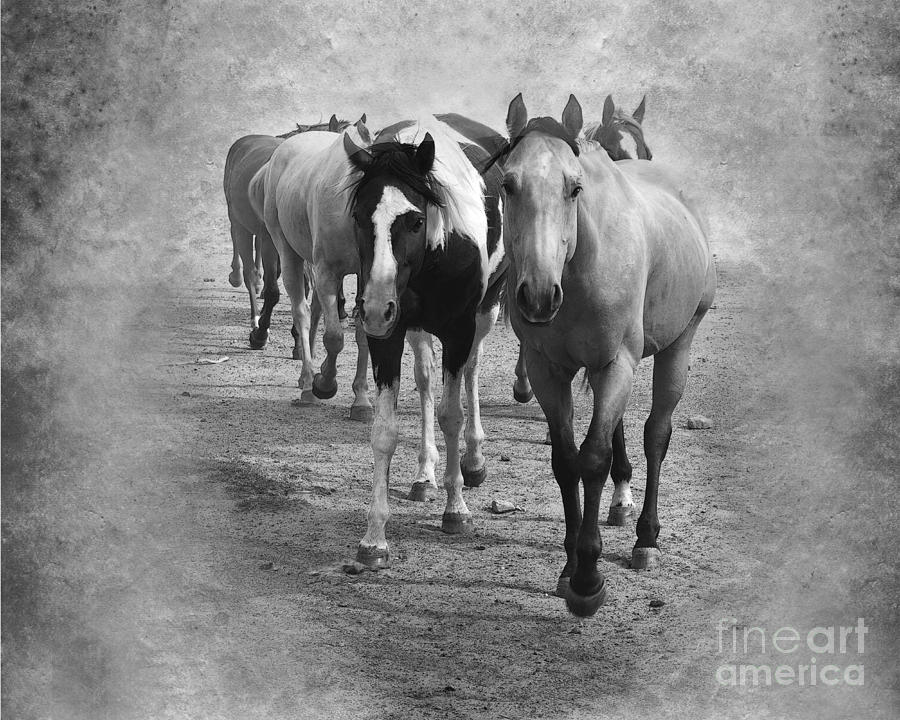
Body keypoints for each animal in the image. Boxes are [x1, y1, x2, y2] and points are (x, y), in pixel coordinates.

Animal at [221, 112, 352, 348]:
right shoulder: (275, 241)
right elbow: (275, 290)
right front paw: (260, 334)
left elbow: (302, 288)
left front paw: (298, 339)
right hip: (238, 220)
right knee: (246, 262)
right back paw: (251, 306)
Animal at [251, 119, 378, 422]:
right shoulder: (327, 272)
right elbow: (334, 338)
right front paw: (325, 383)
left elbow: (362, 334)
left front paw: (361, 400)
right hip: (288, 252)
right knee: (302, 311)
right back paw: (309, 384)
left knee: (317, 309)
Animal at [342, 116, 506, 568]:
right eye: (360, 217)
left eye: (415, 221)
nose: (374, 308)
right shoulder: (390, 336)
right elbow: (385, 431)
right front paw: (374, 538)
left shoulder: (459, 330)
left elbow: (453, 415)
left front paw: (457, 509)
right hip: (414, 330)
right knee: (427, 377)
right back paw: (424, 476)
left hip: (485, 314)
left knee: (470, 372)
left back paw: (474, 460)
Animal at [500, 93, 716, 616]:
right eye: (508, 184)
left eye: (574, 187)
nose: (539, 296)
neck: (580, 265)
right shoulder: (547, 370)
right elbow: (566, 461)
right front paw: (568, 565)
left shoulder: (617, 363)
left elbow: (593, 458)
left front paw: (587, 578)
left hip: (678, 344)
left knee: (657, 434)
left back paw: (646, 538)